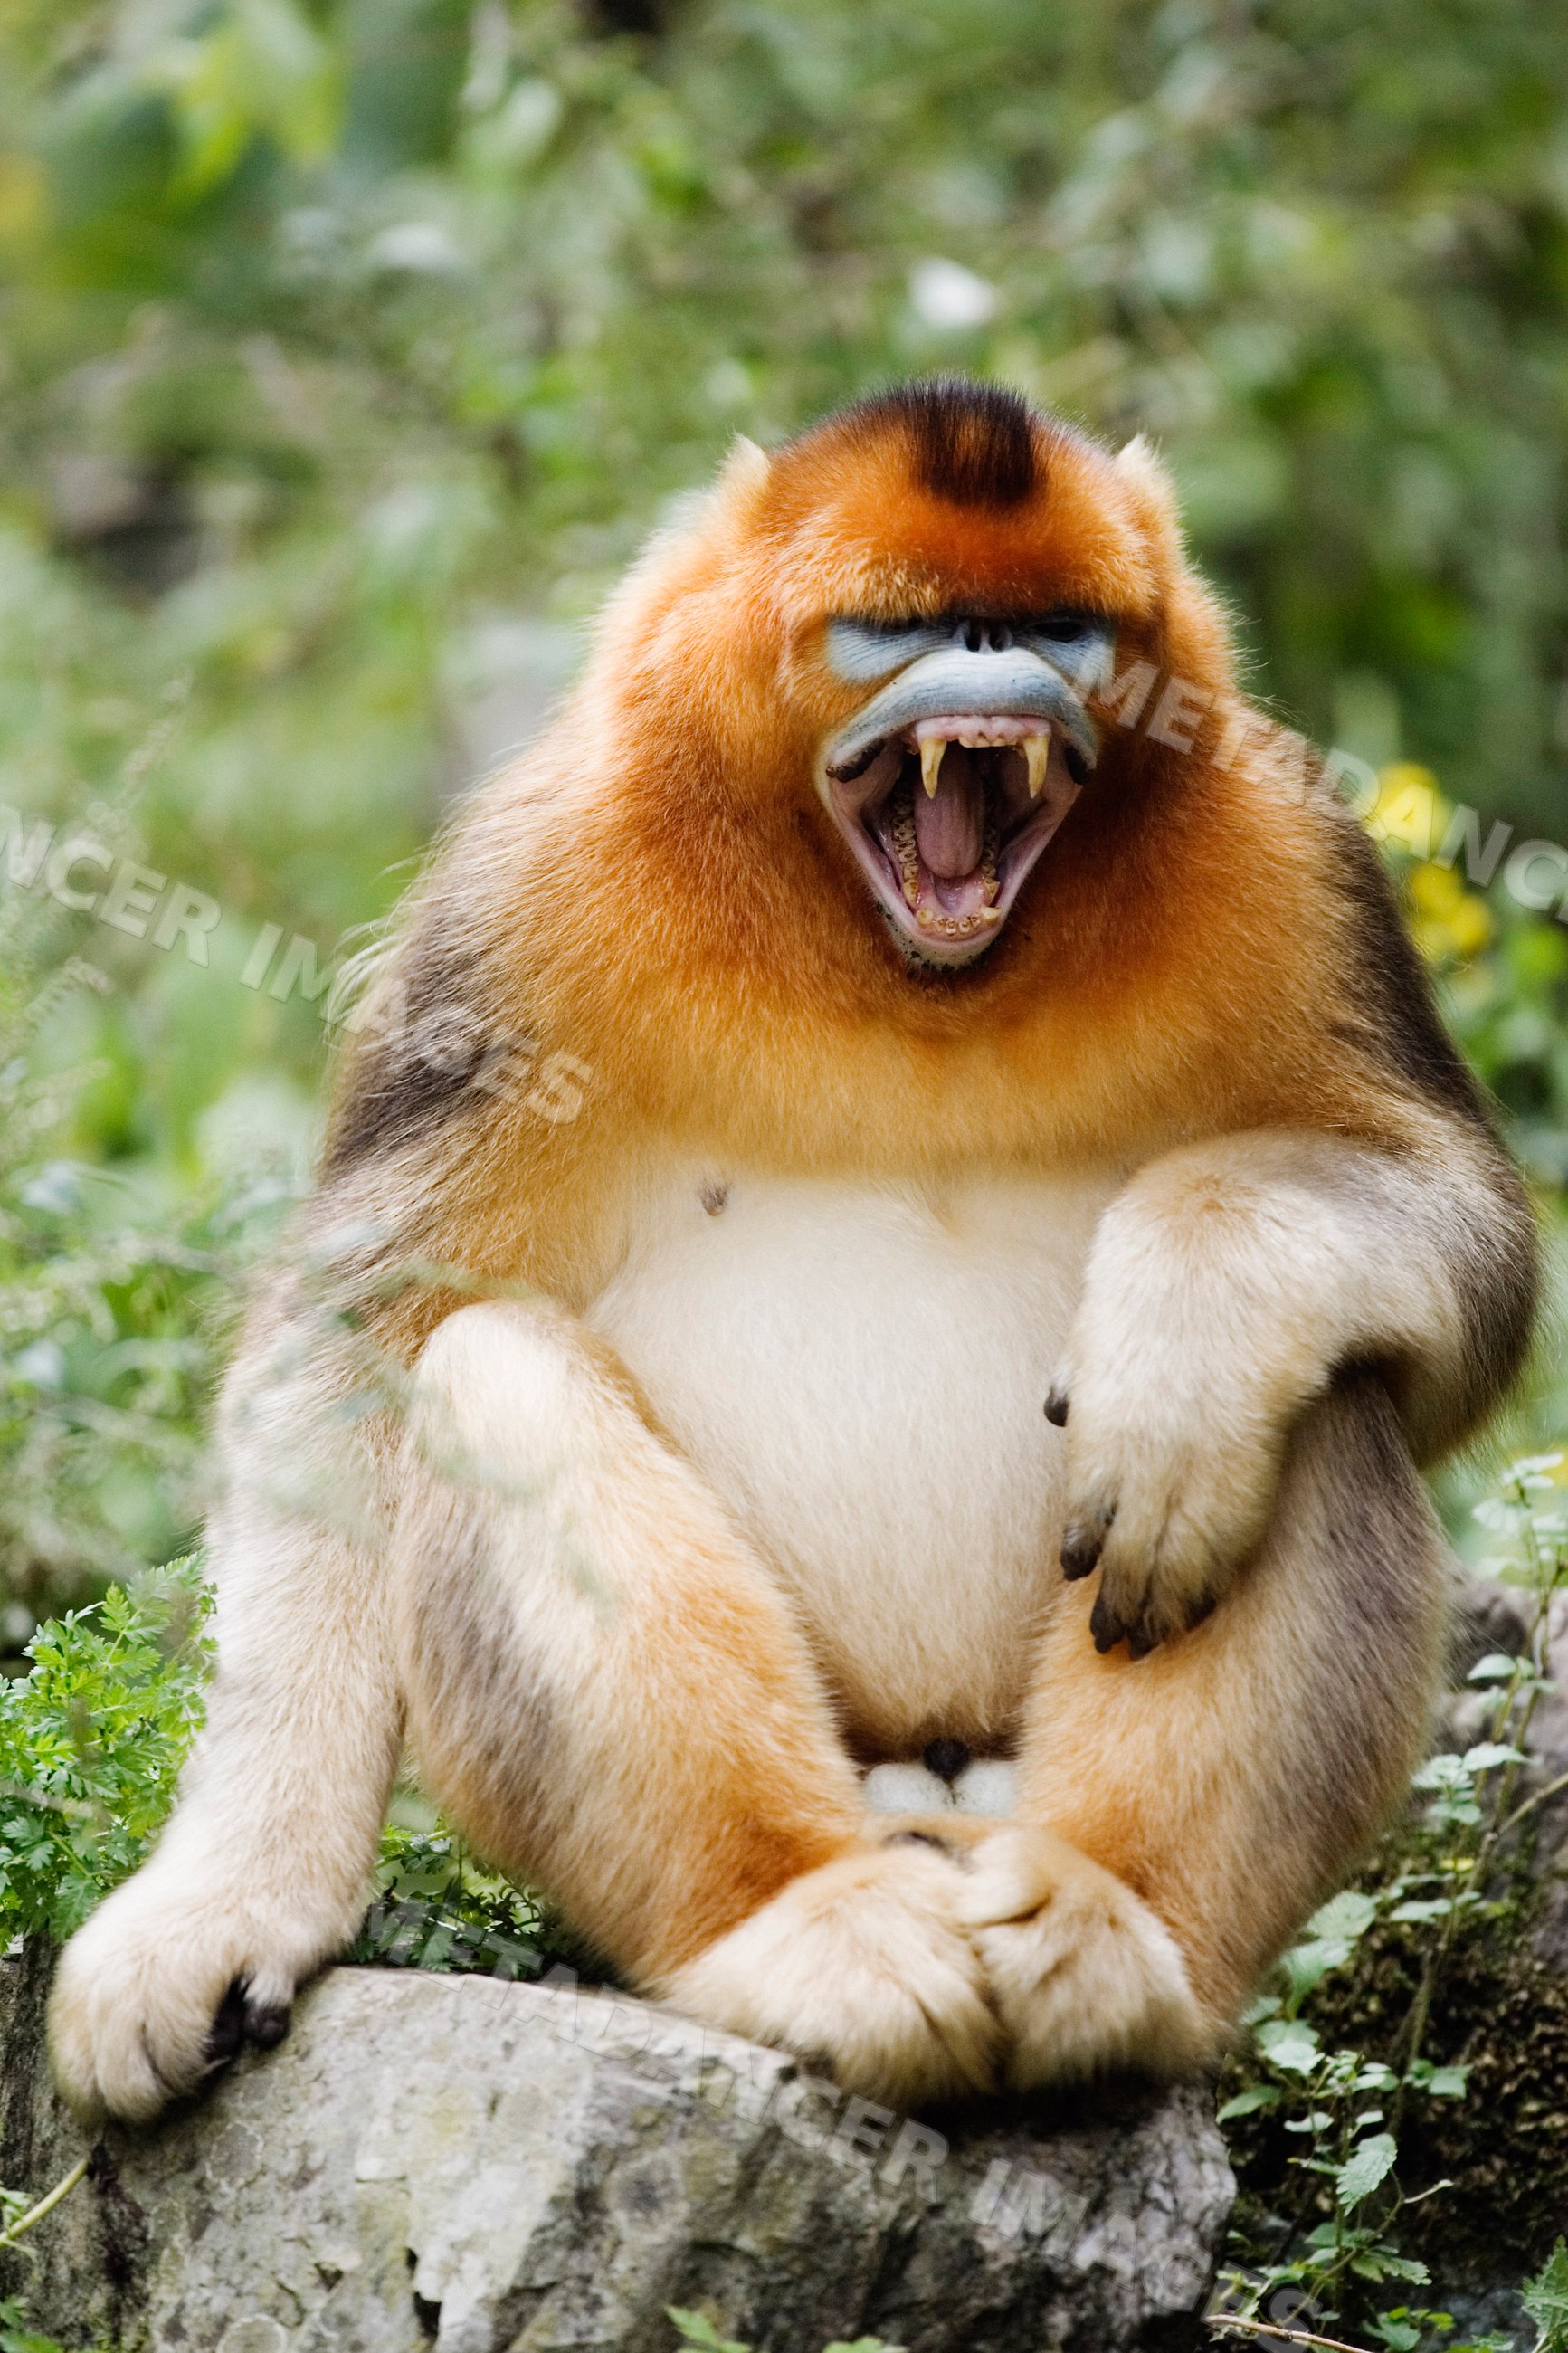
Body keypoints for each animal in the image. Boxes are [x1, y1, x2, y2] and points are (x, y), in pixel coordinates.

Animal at [49, 379, 1537, 2123]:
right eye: (898, 625)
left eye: (1058, 623)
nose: (995, 663)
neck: (906, 976)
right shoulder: (523, 893)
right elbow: (362, 1335)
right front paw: (222, 1901)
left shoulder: (1295, 860)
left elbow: (1464, 1254)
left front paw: (1184, 1350)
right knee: (488, 1365)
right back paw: (797, 1923)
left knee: (1324, 1390)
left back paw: (1109, 1928)